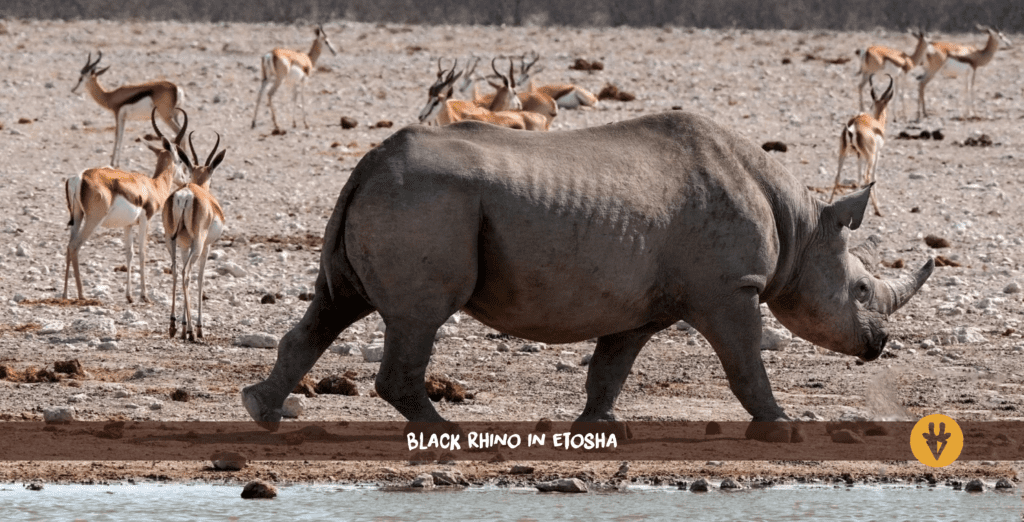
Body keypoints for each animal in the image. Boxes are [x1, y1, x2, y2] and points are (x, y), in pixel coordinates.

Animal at [242, 112, 933, 436]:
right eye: (862, 290)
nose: (881, 344)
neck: (801, 226)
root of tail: (368, 162)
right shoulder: (730, 289)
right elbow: (745, 364)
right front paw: (783, 423)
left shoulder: (643, 304)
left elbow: (611, 365)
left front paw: (598, 427)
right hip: (427, 204)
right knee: (417, 317)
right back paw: (450, 433)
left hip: (397, 199)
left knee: (335, 303)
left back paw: (261, 411)